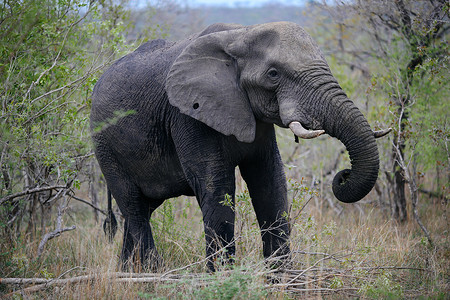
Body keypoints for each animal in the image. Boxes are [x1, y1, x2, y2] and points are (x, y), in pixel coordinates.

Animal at [90, 21, 390, 272]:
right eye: (273, 74)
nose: (343, 175)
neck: (240, 33)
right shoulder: (188, 115)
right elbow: (217, 188)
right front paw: (222, 279)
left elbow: (270, 184)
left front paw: (281, 280)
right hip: (105, 146)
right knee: (135, 208)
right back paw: (152, 274)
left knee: (139, 211)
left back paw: (127, 273)